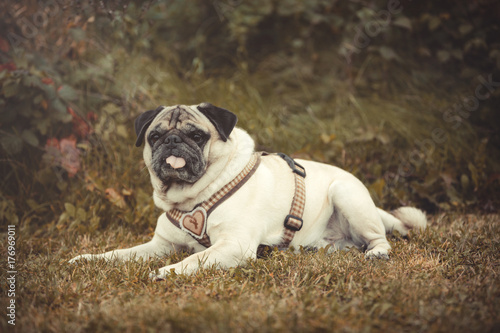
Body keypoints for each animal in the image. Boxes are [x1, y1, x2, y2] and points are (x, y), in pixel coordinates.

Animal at [69, 103, 426, 278]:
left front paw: (168, 271)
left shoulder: (234, 246)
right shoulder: (159, 245)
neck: (192, 200)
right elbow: (119, 254)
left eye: (197, 136)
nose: (172, 141)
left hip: (346, 194)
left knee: (379, 238)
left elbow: (195, 259)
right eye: (154, 137)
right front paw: (89, 259)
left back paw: (377, 253)